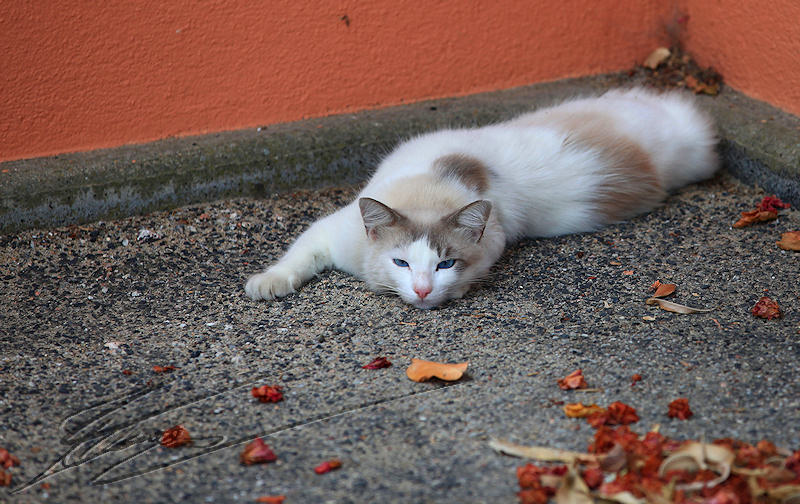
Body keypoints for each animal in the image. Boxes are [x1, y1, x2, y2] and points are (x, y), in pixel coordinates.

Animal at [245, 88, 720, 310]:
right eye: (400, 262)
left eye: (446, 264)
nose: (422, 290)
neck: (430, 187)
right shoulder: (334, 229)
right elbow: (299, 252)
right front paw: (269, 282)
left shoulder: (497, 237)